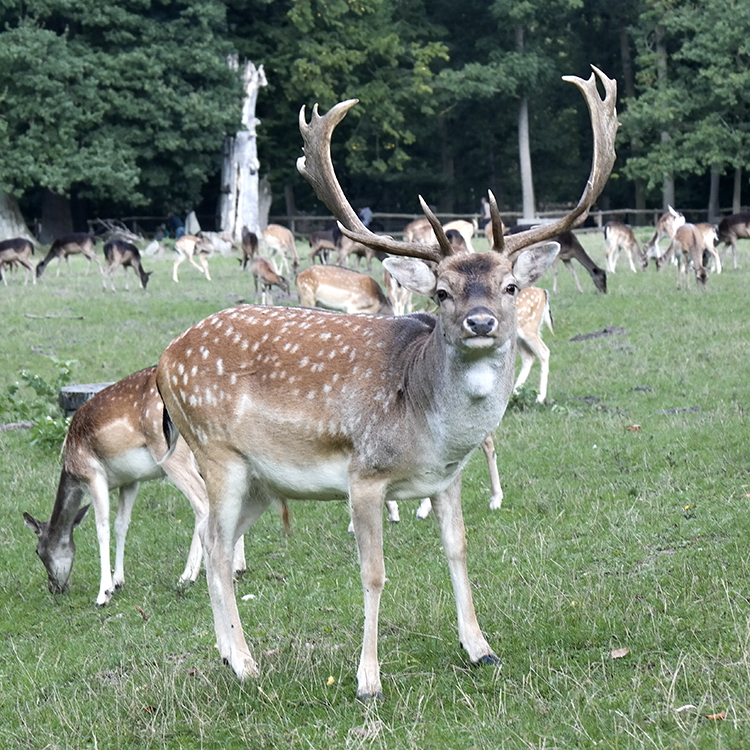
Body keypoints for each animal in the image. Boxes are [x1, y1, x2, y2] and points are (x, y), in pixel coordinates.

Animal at [156, 67, 620, 704]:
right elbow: (373, 573)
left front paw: (480, 648)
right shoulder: (365, 474)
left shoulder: (446, 478)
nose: (481, 323)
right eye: (442, 292)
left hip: (259, 479)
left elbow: (459, 549)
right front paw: (368, 679)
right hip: (216, 450)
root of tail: (162, 362)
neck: (429, 429)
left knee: (209, 540)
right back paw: (247, 665)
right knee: (220, 549)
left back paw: (229, 655)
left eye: (509, 287)